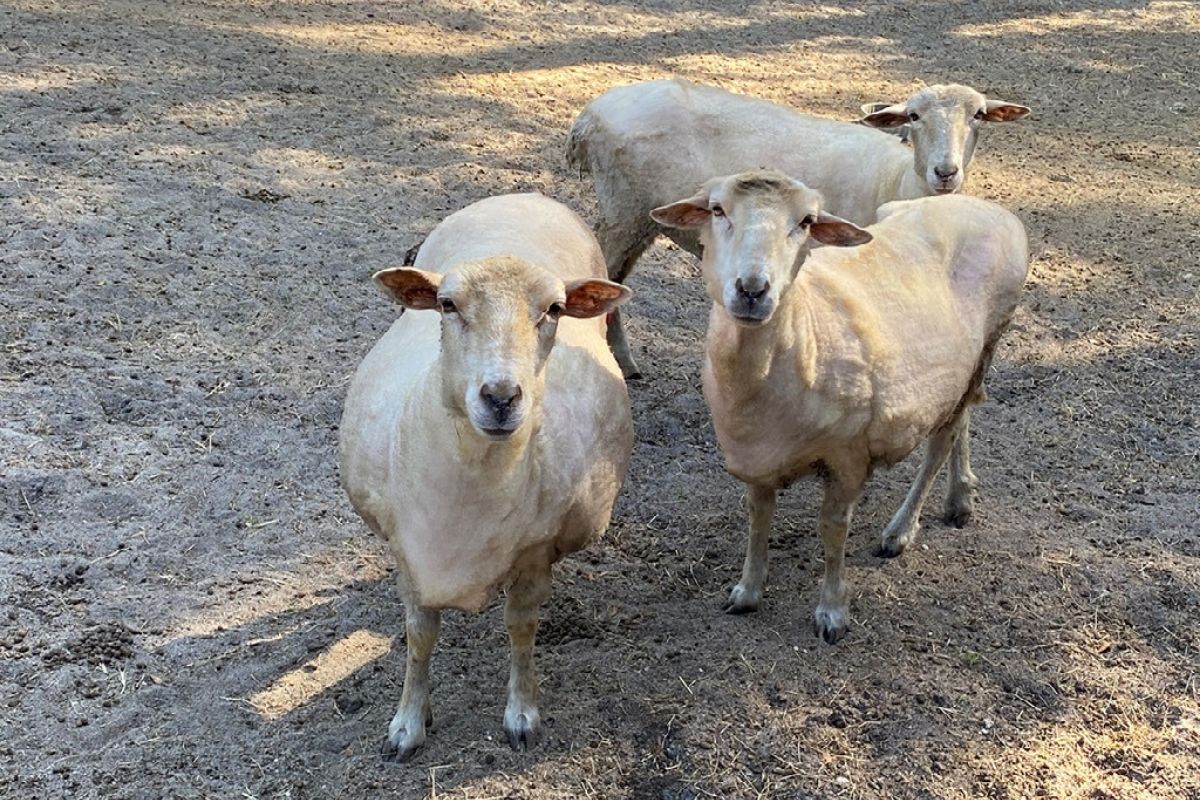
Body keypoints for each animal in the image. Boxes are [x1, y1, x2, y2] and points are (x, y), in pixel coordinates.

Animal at [338, 193, 634, 759]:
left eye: (555, 309)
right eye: (447, 305)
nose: (500, 397)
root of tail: (526, 196)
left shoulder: (537, 550)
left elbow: (520, 628)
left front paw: (522, 713)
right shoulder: (408, 550)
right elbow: (419, 636)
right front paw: (409, 722)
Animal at [565, 77, 1030, 379]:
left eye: (979, 116)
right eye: (914, 116)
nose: (945, 172)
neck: (896, 179)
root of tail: (590, 115)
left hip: (640, 217)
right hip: (622, 207)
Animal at [650, 169, 1028, 644]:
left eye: (807, 221)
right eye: (717, 210)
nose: (752, 290)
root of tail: (984, 206)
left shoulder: (848, 457)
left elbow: (832, 530)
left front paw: (832, 611)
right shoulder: (756, 457)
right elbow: (758, 518)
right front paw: (747, 591)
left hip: (988, 343)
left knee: (942, 443)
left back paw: (901, 531)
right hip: (961, 369)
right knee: (961, 425)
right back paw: (960, 499)